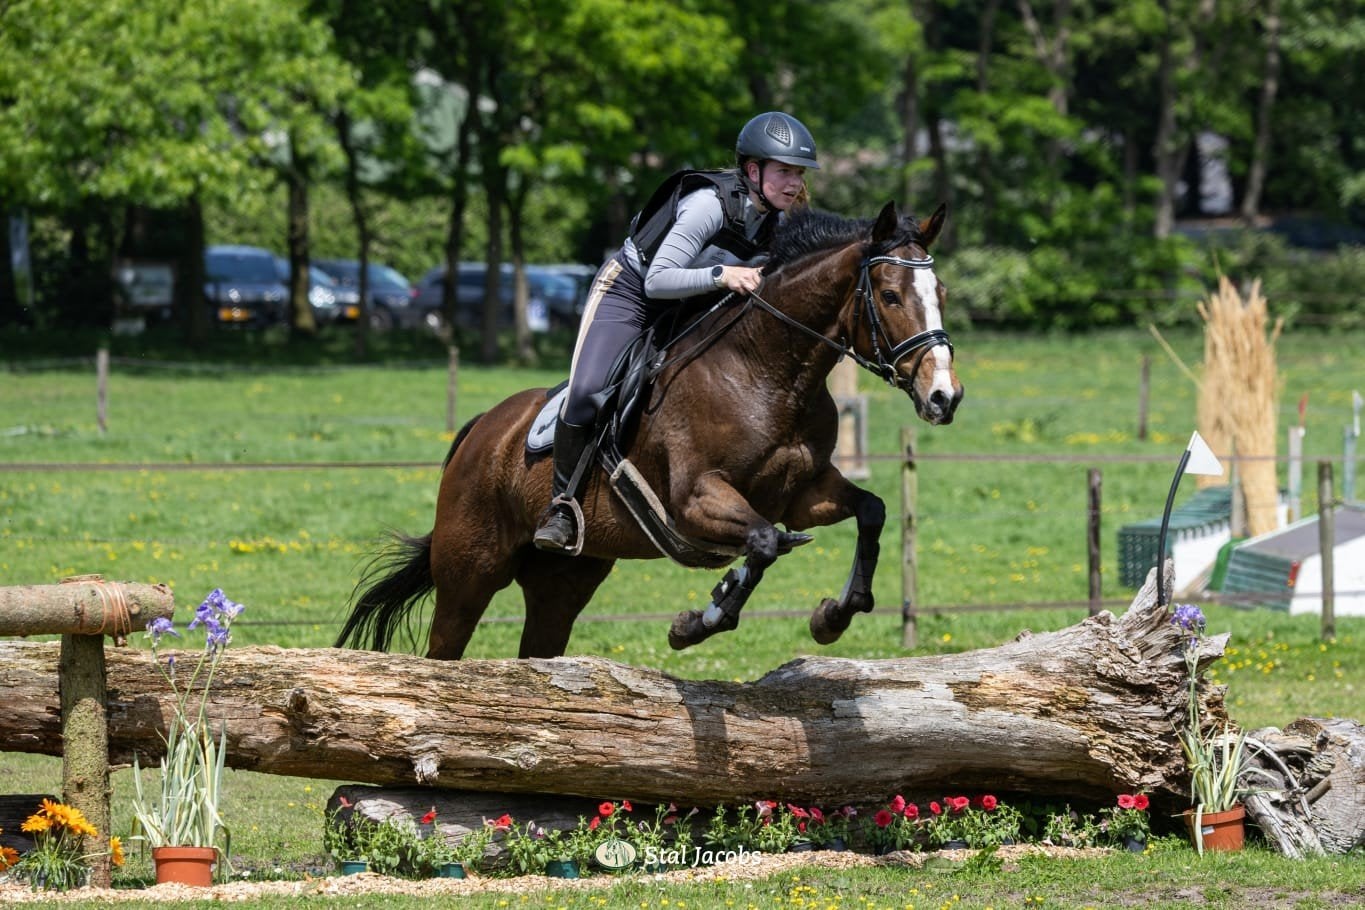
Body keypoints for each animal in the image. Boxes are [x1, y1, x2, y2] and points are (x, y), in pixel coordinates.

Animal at [336, 201, 964, 659]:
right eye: (890, 295)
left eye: (942, 294)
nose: (945, 396)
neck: (766, 370)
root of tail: (478, 433)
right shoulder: (695, 500)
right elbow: (763, 543)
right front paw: (698, 621)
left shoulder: (802, 495)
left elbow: (869, 511)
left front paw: (832, 617)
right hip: (470, 572)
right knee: (444, 650)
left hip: (563, 581)